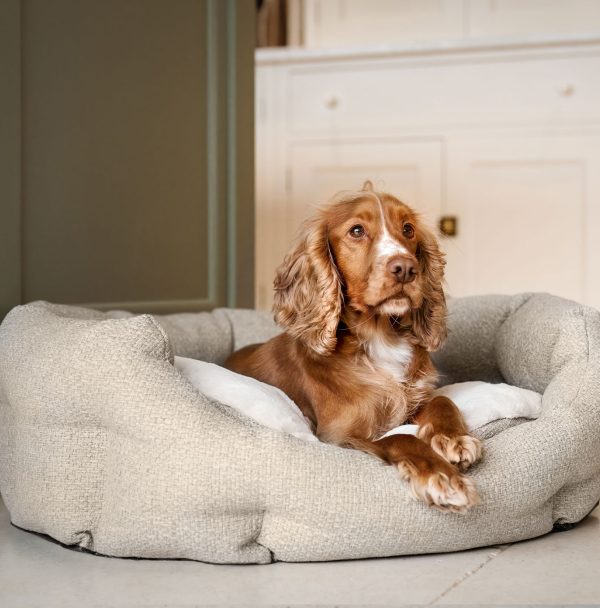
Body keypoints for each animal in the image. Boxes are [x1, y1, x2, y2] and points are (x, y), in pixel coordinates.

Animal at [225, 182, 482, 512]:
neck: (380, 337)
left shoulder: (415, 400)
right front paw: (442, 477)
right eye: (357, 231)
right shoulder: (339, 437)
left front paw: (453, 439)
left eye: (408, 229)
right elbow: (398, 439)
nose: (405, 268)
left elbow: (442, 400)